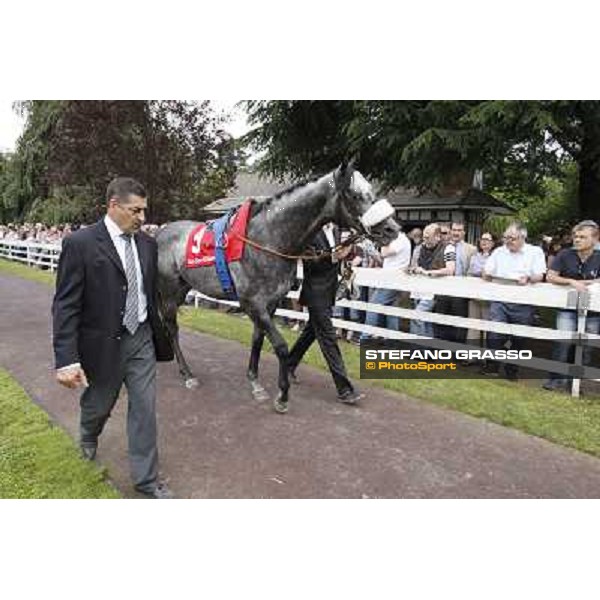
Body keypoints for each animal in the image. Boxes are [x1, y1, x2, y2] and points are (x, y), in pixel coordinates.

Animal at [156, 163, 398, 412]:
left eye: (372, 192)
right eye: (355, 195)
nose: (392, 229)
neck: (267, 239)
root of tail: (160, 231)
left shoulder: (269, 304)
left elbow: (258, 339)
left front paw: (255, 382)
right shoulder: (252, 303)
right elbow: (280, 346)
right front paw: (282, 395)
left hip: (182, 289)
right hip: (168, 292)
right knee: (172, 327)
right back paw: (187, 373)